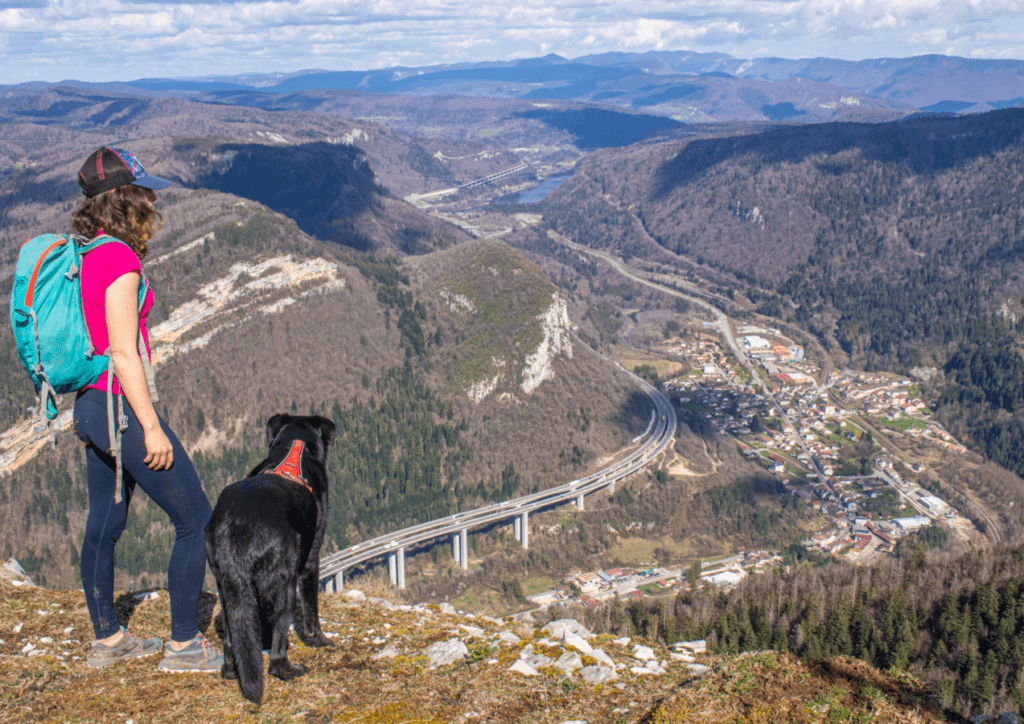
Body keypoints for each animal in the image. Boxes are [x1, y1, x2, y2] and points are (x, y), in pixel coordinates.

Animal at [203, 415, 335, 704]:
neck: (294, 448)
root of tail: (236, 526)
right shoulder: (310, 562)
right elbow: (312, 612)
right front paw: (320, 641)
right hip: (284, 584)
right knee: (277, 648)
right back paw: (289, 669)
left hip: (226, 587)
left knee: (231, 638)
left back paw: (232, 671)